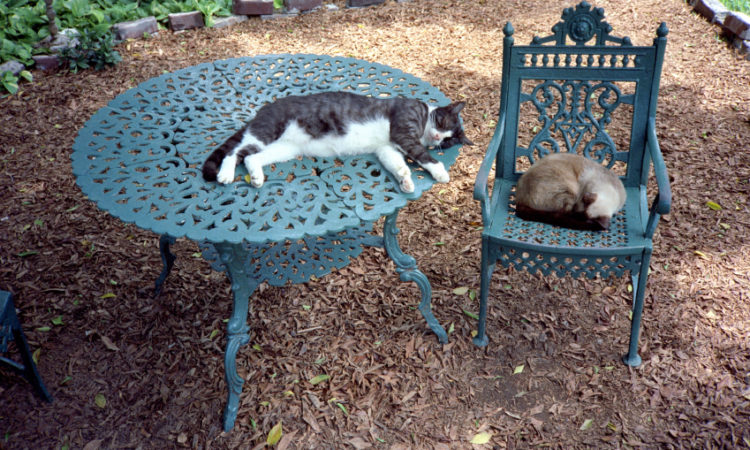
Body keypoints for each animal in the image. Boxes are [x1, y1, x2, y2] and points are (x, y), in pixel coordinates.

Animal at [203, 91, 472, 192]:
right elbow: (422, 155)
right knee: (235, 151)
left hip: (285, 149)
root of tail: (262, 110)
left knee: (250, 157)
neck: (425, 117)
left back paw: (257, 176)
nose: (438, 138)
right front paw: (440, 171)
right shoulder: (403, 132)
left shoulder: (386, 148)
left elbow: (396, 163)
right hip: (266, 131)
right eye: (443, 124)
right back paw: (225, 174)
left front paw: (405, 179)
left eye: (448, 142)